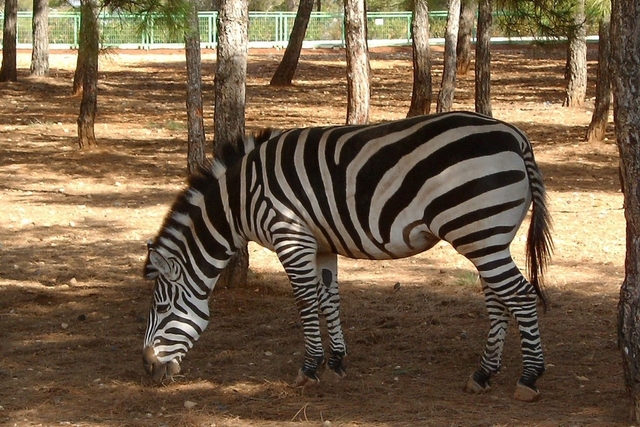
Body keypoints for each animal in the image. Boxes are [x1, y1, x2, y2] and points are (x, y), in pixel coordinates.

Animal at [142, 112, 552, 402]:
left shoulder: (291, 237)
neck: (240, 200)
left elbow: (306, 303)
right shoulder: (322, 245)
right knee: (499, 298)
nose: (147, 369)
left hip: (479, 233)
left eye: (161, 308)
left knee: (521, 296)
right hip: (488, 239)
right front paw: (337, 362)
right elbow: (329, 300)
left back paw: (529, 377)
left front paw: (309, 369)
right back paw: (483, 374)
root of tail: (515, 136)